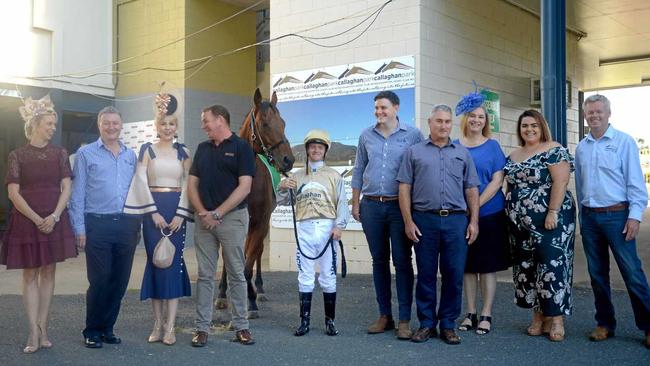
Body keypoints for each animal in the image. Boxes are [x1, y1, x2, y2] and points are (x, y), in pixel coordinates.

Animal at [215, 88, 294, 318]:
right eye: (265, 124)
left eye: (283, 123)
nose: (288, 160)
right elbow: (231, 259)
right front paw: (224, 295)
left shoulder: (259, 224)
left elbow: (248, 264)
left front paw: (250, 300)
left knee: (256, 254)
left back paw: (259, 290)